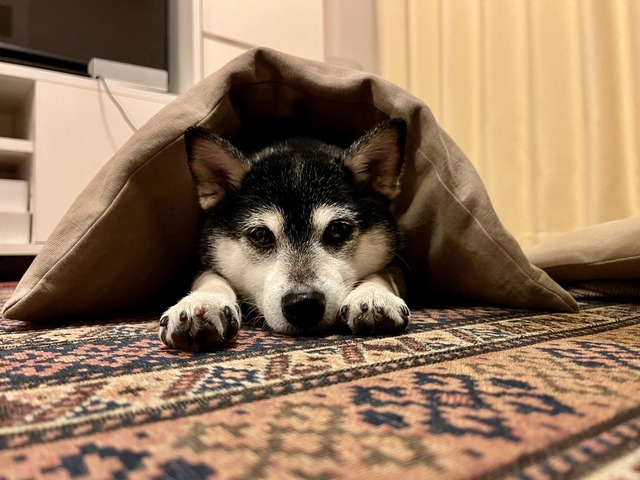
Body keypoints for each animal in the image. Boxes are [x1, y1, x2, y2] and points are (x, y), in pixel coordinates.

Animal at [159, 119, 410, 352]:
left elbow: (387, 272)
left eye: (338, 230)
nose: (304, 304)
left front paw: (373, 294)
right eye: (261, 235)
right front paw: (203, 301)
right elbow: (209, 275)